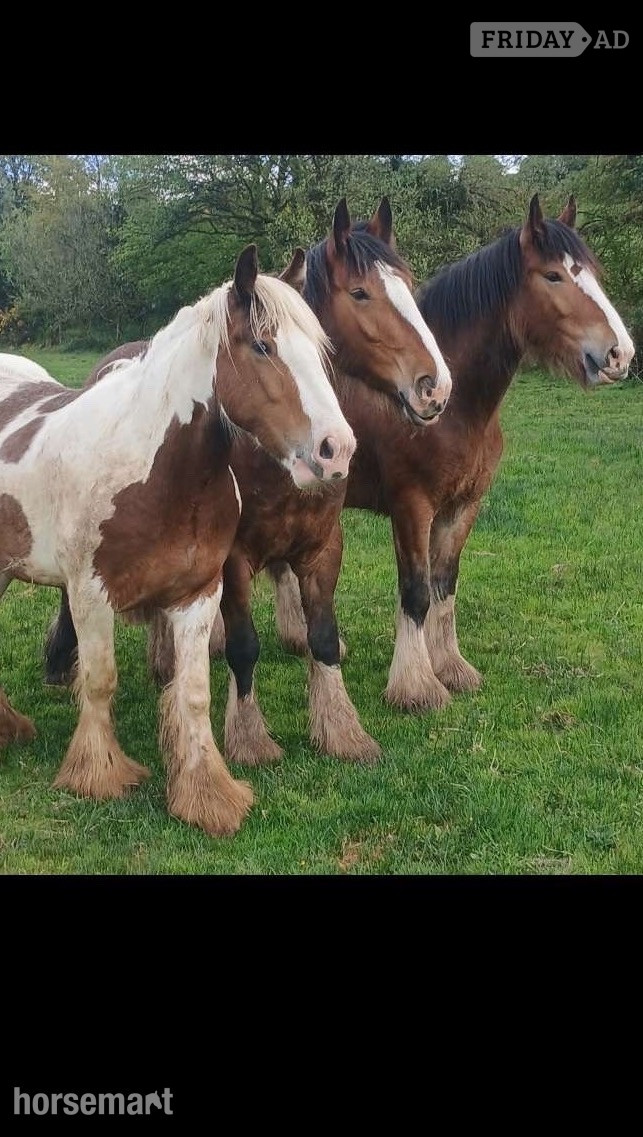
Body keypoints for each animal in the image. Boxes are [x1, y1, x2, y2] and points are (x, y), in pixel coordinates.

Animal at [0, 243, 356, 836]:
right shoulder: (90, 593)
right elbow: (100, 681)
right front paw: (98, 774)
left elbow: (193, 694)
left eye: (321, 351)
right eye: (263, 346)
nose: (337, 449)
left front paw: (206, 794)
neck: (156, 471)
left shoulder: (199, 595)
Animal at [42, 198, 452, 766]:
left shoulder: (323, 547)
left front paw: (342, 731)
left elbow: (323, 637)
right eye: (361, 292)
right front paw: (249, 738)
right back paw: (63, 659)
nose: (435, 386)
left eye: (409, 284)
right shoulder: (233, 558)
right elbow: (244, 646)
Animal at [267, 194, 635, 710]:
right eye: (553, 276)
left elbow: (446, 584)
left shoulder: (463, 507)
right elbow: (417, 591)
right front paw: (416, 686)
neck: (458, 410)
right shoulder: (412, 507)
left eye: (593, 272)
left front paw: (452, 668)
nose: (620, 354)